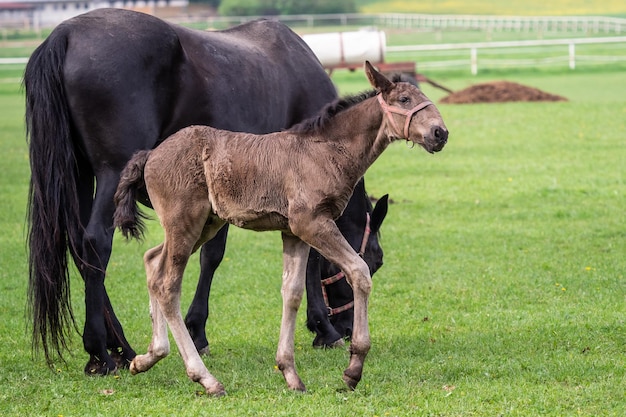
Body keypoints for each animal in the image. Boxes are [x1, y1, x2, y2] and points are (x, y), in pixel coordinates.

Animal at [24, 8, 382, 374]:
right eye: (375, 260)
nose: (347, 327)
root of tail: (66, 34)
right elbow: (222, 257)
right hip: (112, 172)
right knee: (96, 242)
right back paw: (100, 350)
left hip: (78, 174)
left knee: (78, 245)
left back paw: (119, 346)